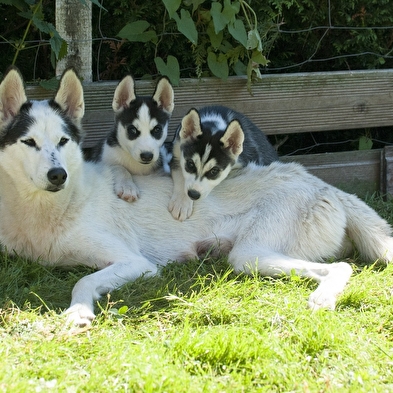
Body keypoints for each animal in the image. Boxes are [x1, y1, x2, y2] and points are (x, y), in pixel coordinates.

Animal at [0, 66, 392, 326]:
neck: (51, 208)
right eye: (29, 142)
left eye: (63, 141)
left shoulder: (135, 264)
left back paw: (323, 297)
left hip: (248, 255)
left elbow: (83, 280)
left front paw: (78, 312)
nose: (57, 175)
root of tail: (321, 184)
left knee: (341, 266)